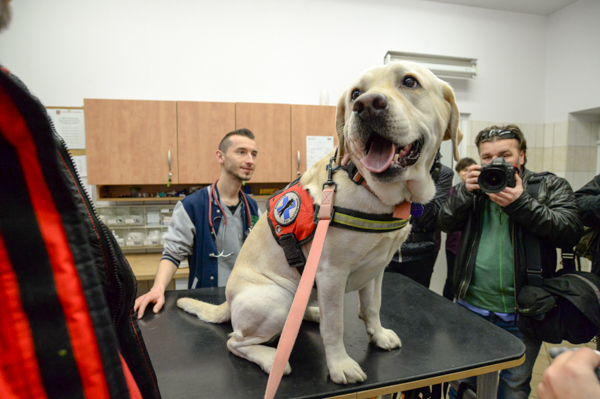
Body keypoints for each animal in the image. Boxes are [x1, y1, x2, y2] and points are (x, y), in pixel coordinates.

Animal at [176, 61, 462, 384]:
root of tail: (227, 302)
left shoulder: (376, 269)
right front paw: (339, 365)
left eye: (410, 82)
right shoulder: (331, 273)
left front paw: (378, 335)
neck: (372, 187)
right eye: (355, 94)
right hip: (278, 298)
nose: (366, 106)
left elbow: (372, 306)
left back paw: (310, 313)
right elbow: (335, 325)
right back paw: (272, 358)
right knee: (235, 342)